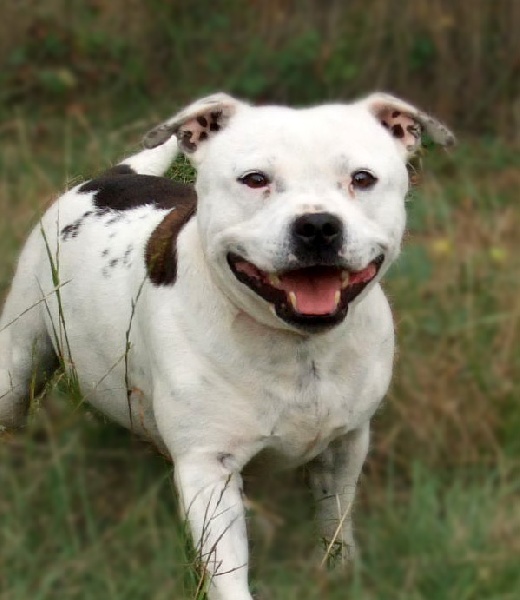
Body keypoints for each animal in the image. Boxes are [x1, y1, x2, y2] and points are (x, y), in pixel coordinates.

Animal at [0, 91, 452, 596]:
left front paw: (342, 572)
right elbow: (228, 573)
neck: (300, 348)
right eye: (254, 179)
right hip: (16, 364)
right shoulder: (208, 470)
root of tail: (111, 177)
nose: (318, 225)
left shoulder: (346, 445)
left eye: (362, 178)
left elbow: (335, 520)